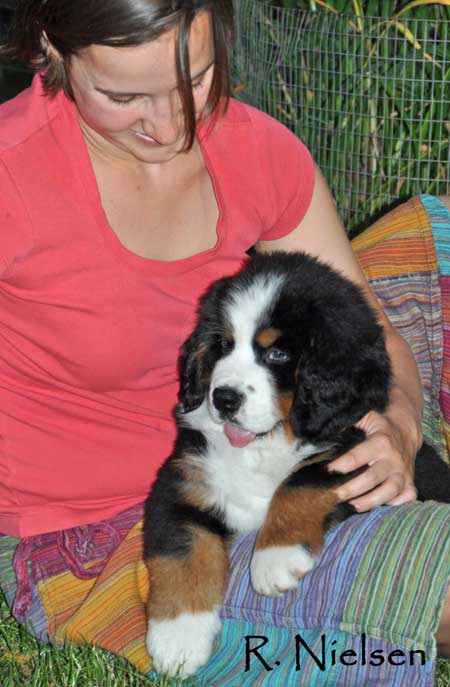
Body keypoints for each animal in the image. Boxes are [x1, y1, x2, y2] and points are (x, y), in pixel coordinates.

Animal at [142, 251, 450, 676]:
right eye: (223, 344)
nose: (223, 398)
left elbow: (300, 482)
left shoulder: (361, 452)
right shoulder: (183, 480)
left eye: (277, 354)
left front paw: (275, 557)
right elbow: (183, 549)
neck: (266, 441)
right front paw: (178, 638)